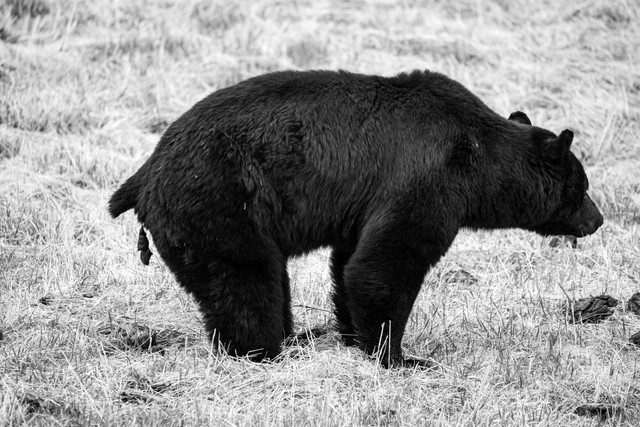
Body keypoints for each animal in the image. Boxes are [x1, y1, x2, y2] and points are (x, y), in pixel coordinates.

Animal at [109, 69, 603, 368]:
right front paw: (400, 357)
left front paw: (353, 335)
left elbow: (351, 261)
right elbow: (386, 263)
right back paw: (264, 350)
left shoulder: (365, 206)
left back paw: (293, 336)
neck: (477, 155)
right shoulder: (425, 181)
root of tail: (145, 172)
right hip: (218, 202)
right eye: (582, 187)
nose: (597, 220)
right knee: (245, 278)